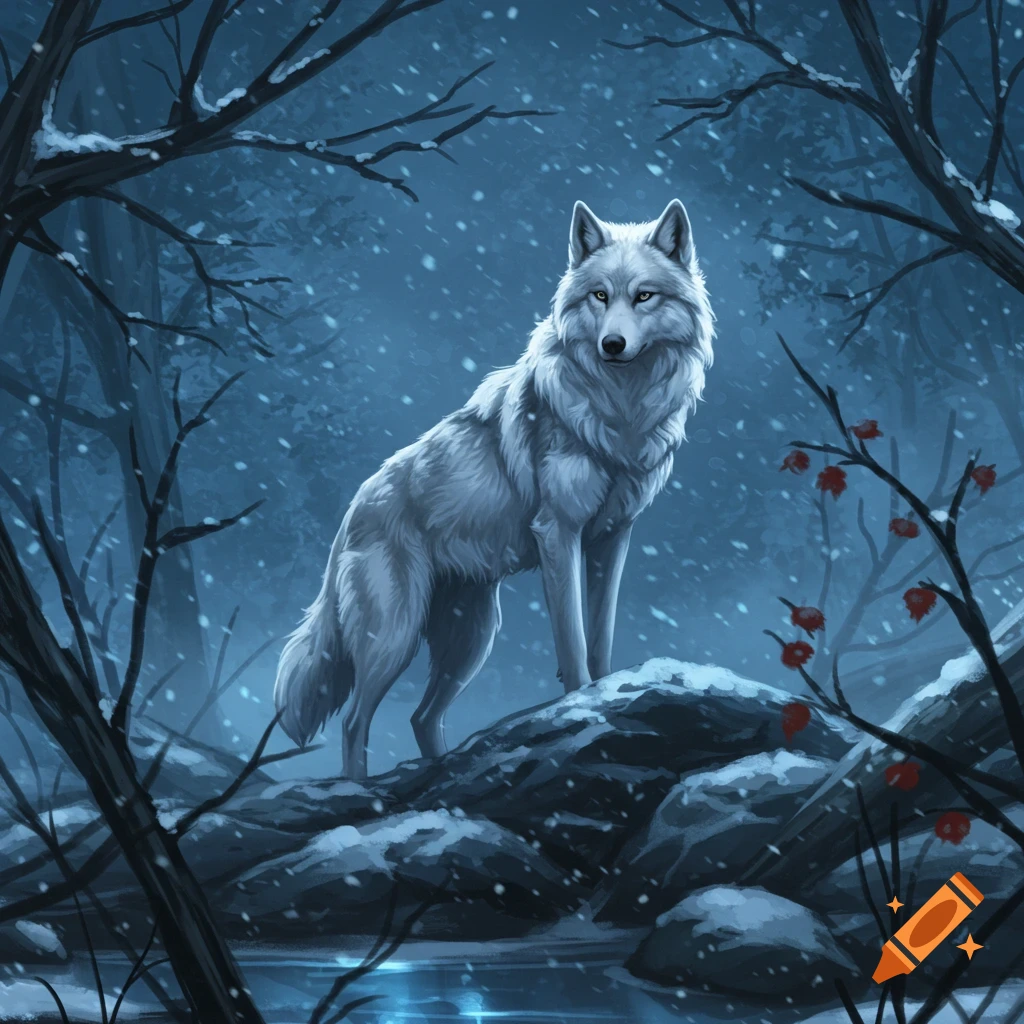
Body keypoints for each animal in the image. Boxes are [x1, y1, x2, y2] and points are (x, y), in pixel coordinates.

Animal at [274, 199, 715, 779]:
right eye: (599, 296)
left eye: (644, 295)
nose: (612, 344)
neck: (619, 410)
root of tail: (351, 510)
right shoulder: (559, 534)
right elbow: (572, 643)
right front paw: (581, 704)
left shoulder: (612, 538)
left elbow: (600, 638)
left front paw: (607, 692)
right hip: (396, 634)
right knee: (354, 720)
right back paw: (358, 788)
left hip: (472, 636)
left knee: (420, 717)